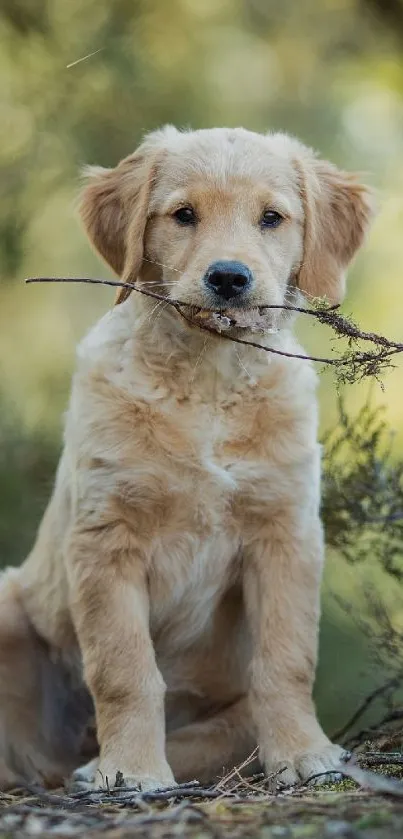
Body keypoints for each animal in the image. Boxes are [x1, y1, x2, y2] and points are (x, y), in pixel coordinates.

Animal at [0, 123, 376, 788]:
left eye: (271, 218)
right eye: (183, 215)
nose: (229, 278)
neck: (209, 380)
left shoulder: (285, 532)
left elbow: (287, 659)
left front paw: (304, 753)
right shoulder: (106, 537)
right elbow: (125, 668)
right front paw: (130, 770)